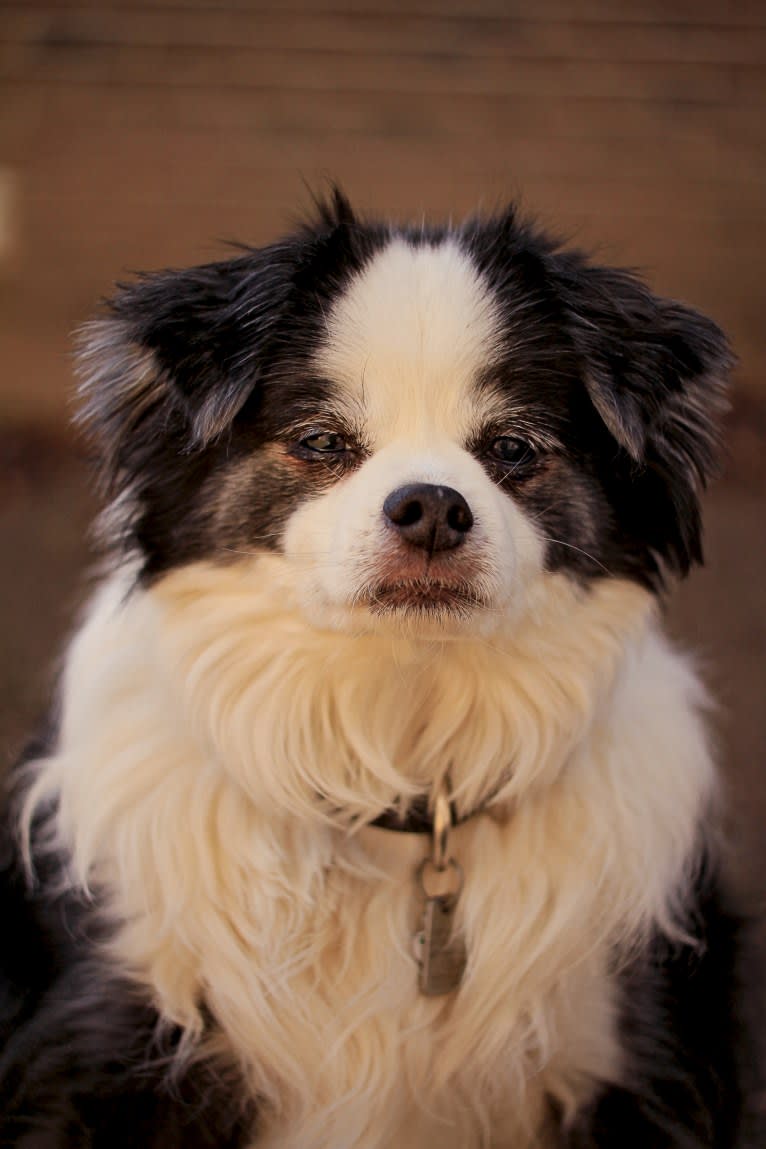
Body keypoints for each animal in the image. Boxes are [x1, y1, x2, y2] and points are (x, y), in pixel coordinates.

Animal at [0, 193, 753, 1144]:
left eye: (513, 448)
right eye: (321, 439)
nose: (430, 506)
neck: (395, 736)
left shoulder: (637, 1059)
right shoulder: (103, 1048)